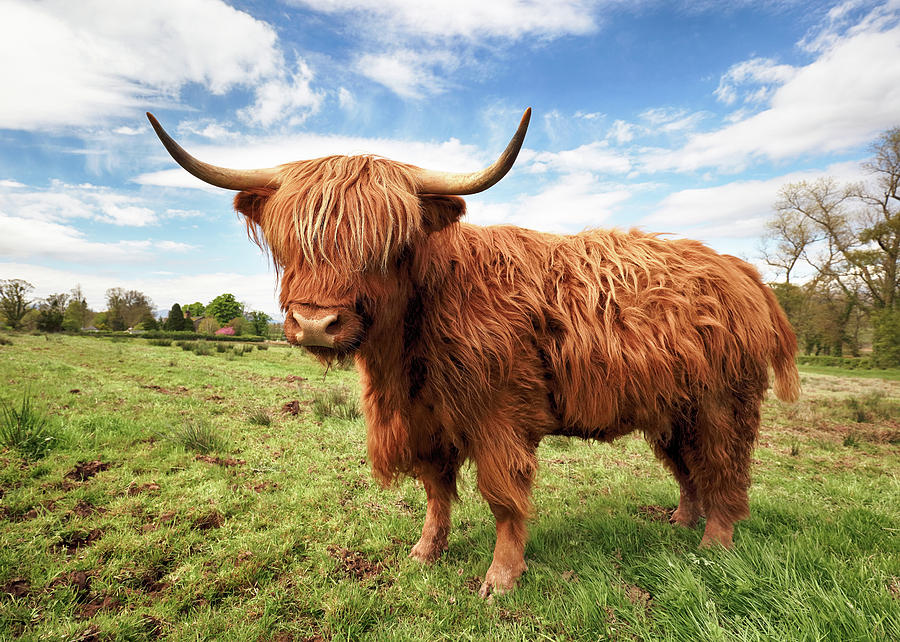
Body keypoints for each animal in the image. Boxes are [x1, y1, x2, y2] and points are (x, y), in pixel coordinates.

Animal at [147, 109, 800, 597]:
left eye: (386, 244)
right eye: (291, 243)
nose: (315, 323)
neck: (407, 351)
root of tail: (740, 270)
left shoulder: (499, 417)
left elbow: (502, 496)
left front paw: (500, 579)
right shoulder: (426, 420)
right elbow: (435, 491)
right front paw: (424, 552)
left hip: (722, 404)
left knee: (724, 471)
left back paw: (712, 548)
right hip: (672, 409)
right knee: (688, 470)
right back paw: (680, 523)